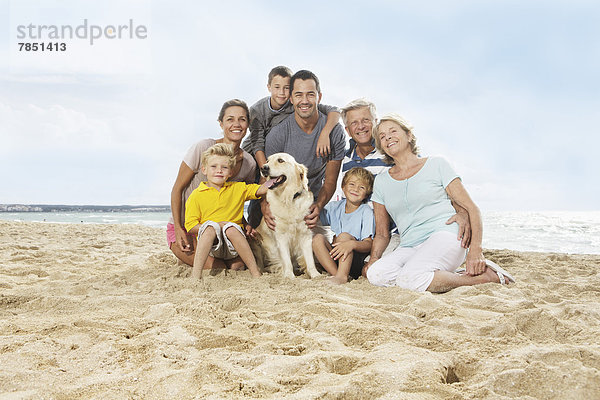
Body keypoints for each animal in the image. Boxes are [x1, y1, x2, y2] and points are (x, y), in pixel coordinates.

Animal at [250, 152, 322, 280]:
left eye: (280, 160)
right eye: (267, 161)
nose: (263, 168)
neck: (288, 199)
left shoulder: (306, 234)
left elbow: (310, 260)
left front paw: (315, 275)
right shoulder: (281, 236)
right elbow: (286, 260)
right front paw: (289, 276)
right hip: (255, 241)